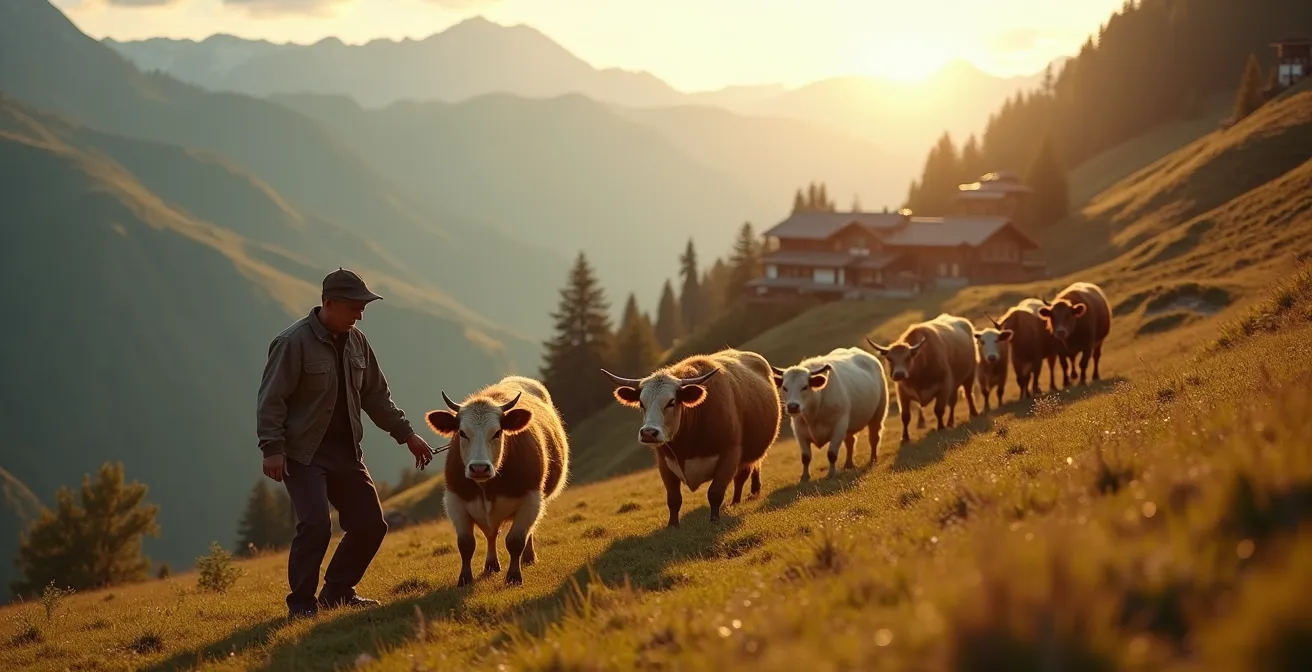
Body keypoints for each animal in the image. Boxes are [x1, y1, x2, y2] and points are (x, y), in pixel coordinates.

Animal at [424, 375, 570, 588]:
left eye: (498, 432)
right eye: (462, 433)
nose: (479, 468)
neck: (487, 487)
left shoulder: (531, 499)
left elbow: (516, 540)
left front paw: (514, 576)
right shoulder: (455, 500)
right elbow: (466, 543)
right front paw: (465, 578)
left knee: (528, 532)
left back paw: (528, 557)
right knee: (491, 534)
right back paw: (491, 564)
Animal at [601, 348, 781, 527]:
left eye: (671, 402)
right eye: (641, 403)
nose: (648, 433)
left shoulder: (730, 454)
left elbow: (715, 492)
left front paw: (714, 519)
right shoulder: (664, 462)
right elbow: (673, 498)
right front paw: (673, 525)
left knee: (743, 475)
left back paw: (739, 500)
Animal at [771, 347, 890, 482]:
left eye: (805, 387)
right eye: (785, 388)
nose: (792, 406)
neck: (814, 411)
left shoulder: (839, 427)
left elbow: (832, 454)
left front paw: (831, 473)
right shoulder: (799, 431)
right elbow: (805, 457)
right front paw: (804, 477)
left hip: (878, 415)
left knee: (874, 438)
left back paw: (873, 460)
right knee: (850, 441)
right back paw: (848, 465)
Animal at [865, 313, 980, 443]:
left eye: (908, 357)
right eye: (890, 359)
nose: (899, 374)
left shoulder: (944, 386)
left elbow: (939, 410)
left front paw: (940, 427)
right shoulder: (902, 393)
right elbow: (905, 416)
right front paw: (905, 437)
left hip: (969, 375)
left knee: (968, 395)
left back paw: (973, 413)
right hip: (954, 385)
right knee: (953, 402)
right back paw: (950, 422)